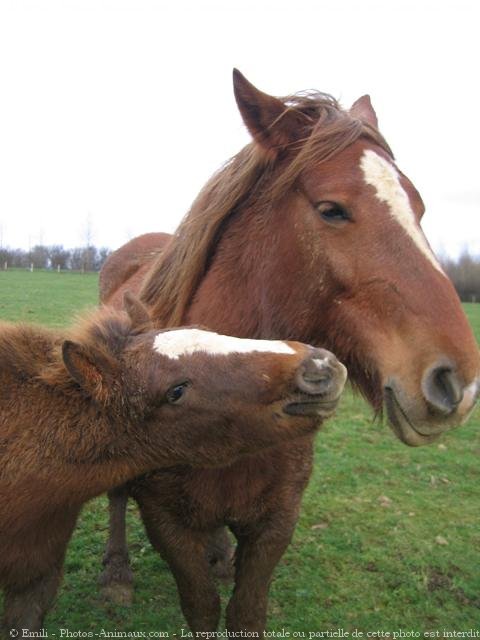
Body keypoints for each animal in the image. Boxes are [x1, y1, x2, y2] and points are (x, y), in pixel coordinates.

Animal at [99, 72, 478, 632]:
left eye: (420, 208)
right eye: (331, 209)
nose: (458, 382)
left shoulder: (276, 525)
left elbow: (246, 610)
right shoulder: (167, 524)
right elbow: (201, 606)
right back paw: (117, 573)